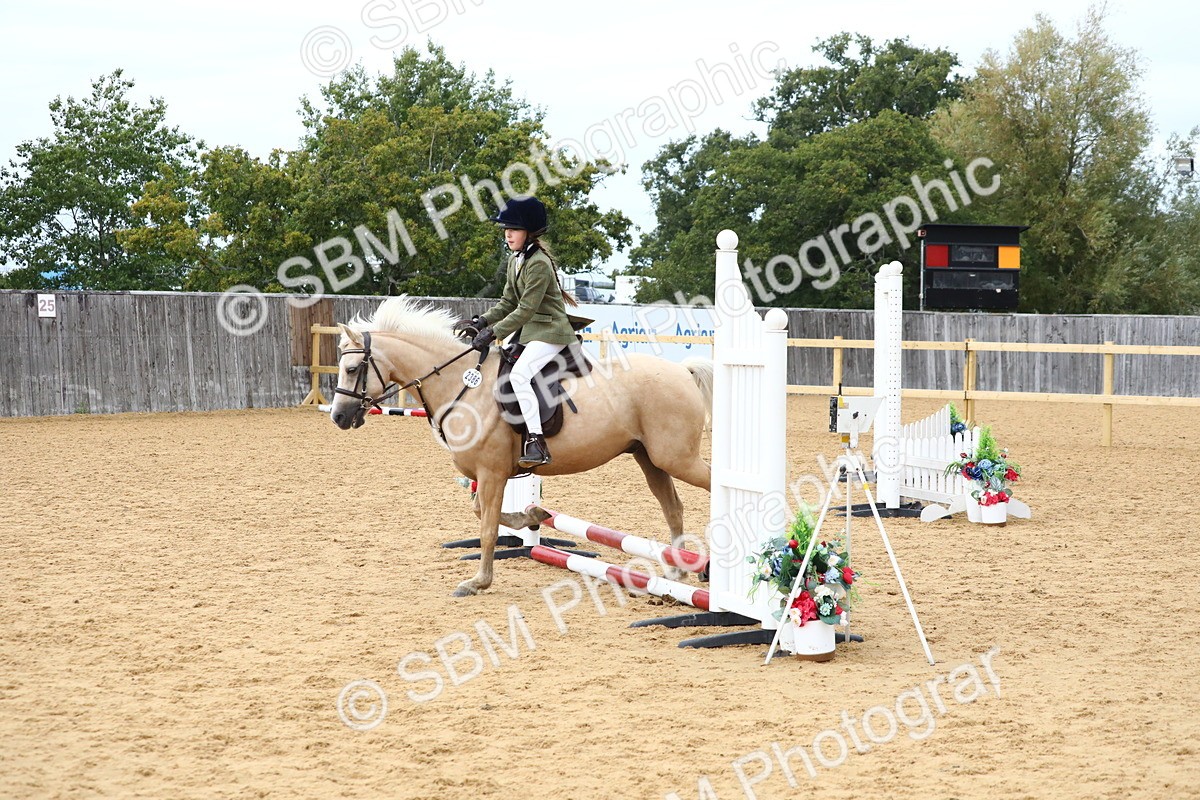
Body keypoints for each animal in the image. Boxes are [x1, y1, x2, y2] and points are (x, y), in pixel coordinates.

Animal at [327, 296, 714, 597]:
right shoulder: (489, 475)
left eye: (352, 368)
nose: (338, 417)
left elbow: (486, 529)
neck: (462, 383)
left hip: (677, 458)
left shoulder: (493, 473)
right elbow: (485, 513)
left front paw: (478, 582)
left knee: (711, 485)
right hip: (650, 459)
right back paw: (677, 571)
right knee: (673, 508)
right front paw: (532, 516)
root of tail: (683, 372)